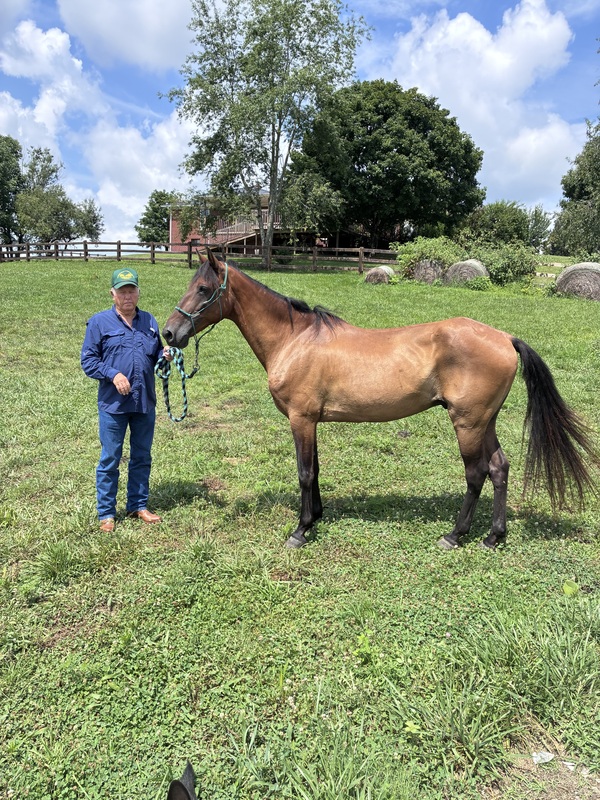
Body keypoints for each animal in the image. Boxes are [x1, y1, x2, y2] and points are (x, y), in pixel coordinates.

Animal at [162, 249, 598, 550]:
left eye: (203, 289)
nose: (169, 333)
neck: (295, 340)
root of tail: (505, 337)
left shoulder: (301, 419)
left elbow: (304, 473)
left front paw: (301, 530)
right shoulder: (312, 421)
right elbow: (315, 471)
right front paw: (317, 517)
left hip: (468, 423)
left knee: (476, 473)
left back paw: (455, 535)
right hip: (483, 421)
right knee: (499, 468)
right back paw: (494, 537)